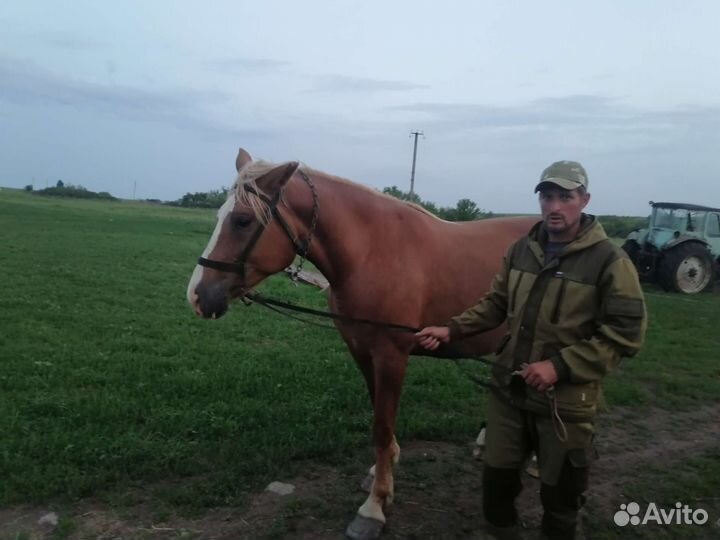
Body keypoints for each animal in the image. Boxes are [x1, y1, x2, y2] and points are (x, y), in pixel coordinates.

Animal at [186, 148, 539, 539]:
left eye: (243, 220)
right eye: (220, 216)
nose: (198, 296)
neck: (372, 251)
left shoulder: (391, 356)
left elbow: (381, 427)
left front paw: (374, 506)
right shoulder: (362, 351)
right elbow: (379, 418)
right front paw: (381, 473)